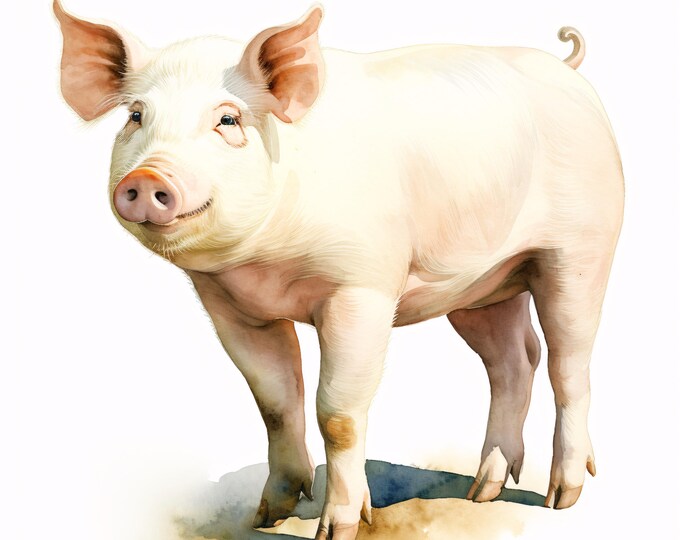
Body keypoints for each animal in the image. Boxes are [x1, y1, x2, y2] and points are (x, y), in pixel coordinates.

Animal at [54, 1, 623, 538]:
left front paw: (339, 529)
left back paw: (561, 497)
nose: (148, 177)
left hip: (583, 248)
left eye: (228, 120)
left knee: (568, 364)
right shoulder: (230, 307)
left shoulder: (363, 287)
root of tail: (568, 69)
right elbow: (274, 402)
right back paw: (482, 492)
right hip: (483, 285)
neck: (266, 265)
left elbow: (339, 414)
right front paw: (268, 516)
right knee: (514, 361)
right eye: (135, 116)